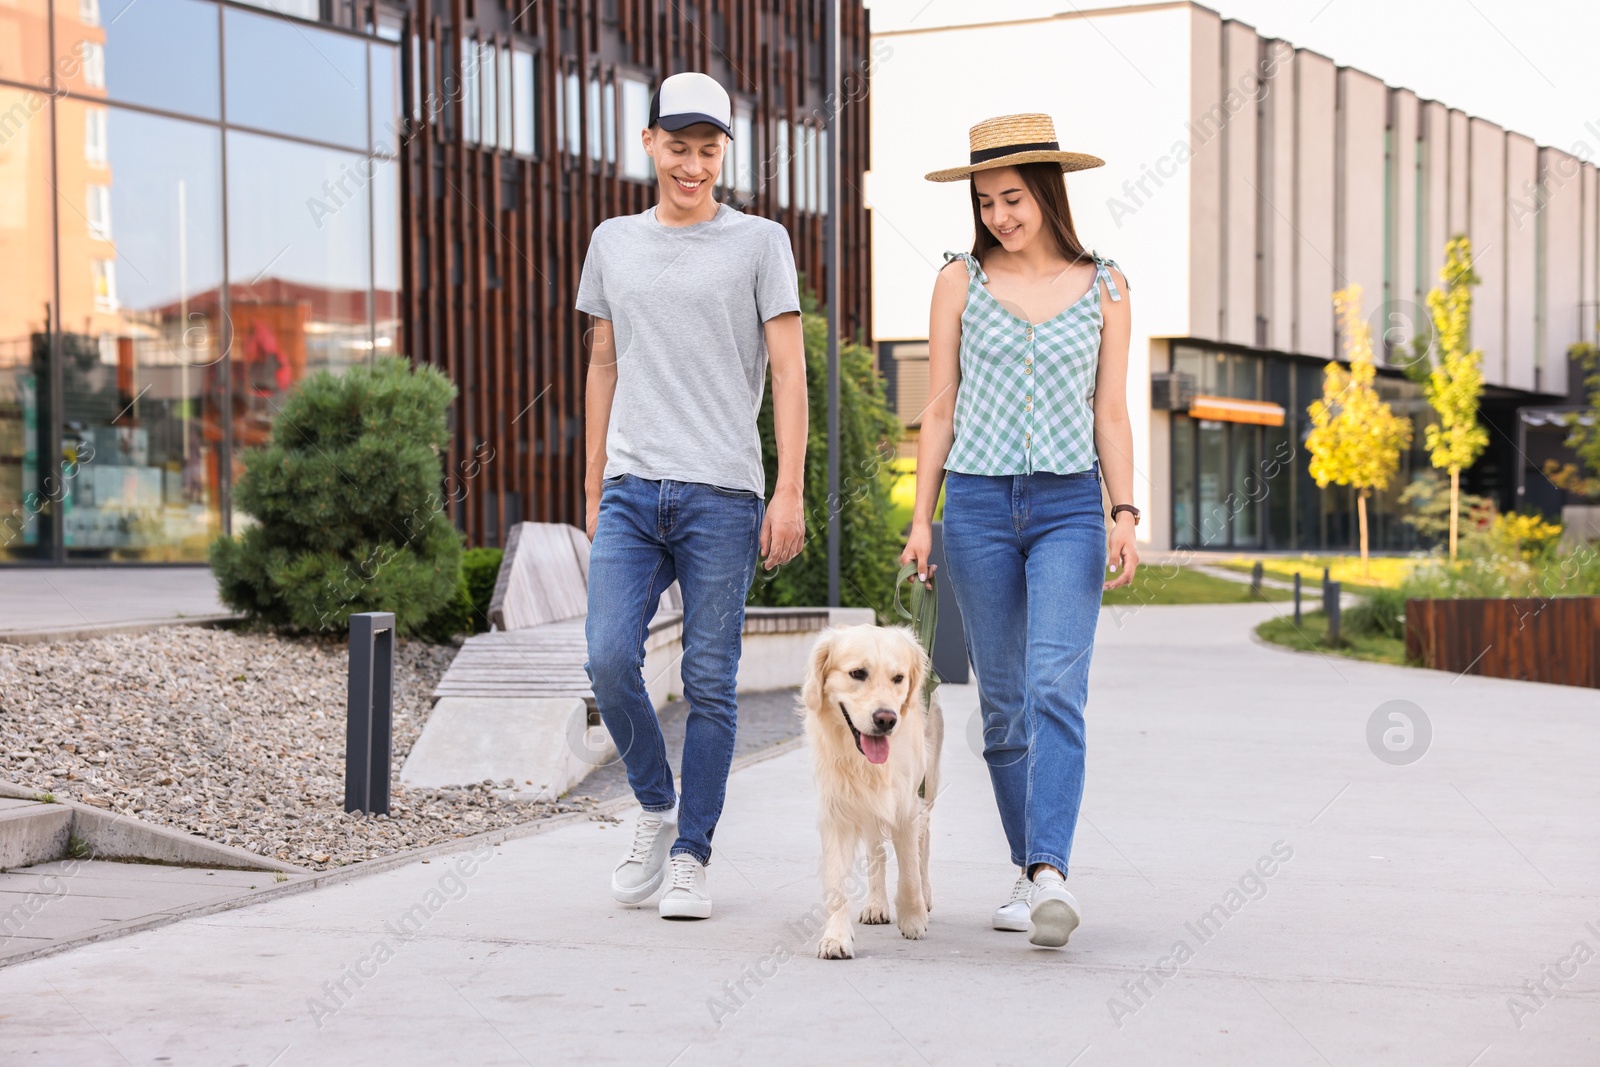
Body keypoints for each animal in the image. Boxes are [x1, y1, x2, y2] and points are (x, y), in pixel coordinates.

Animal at [796, 627, 934, 959]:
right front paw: (836, 937)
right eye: (858, 673)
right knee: (876, 853)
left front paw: (913, 918)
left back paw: (925, 898)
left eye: (898, 678)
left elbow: (909, 869)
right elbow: (836, 885)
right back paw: (876, 904)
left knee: (924, 846)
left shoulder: (906, 806)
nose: (886, 719)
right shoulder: (836, 814)